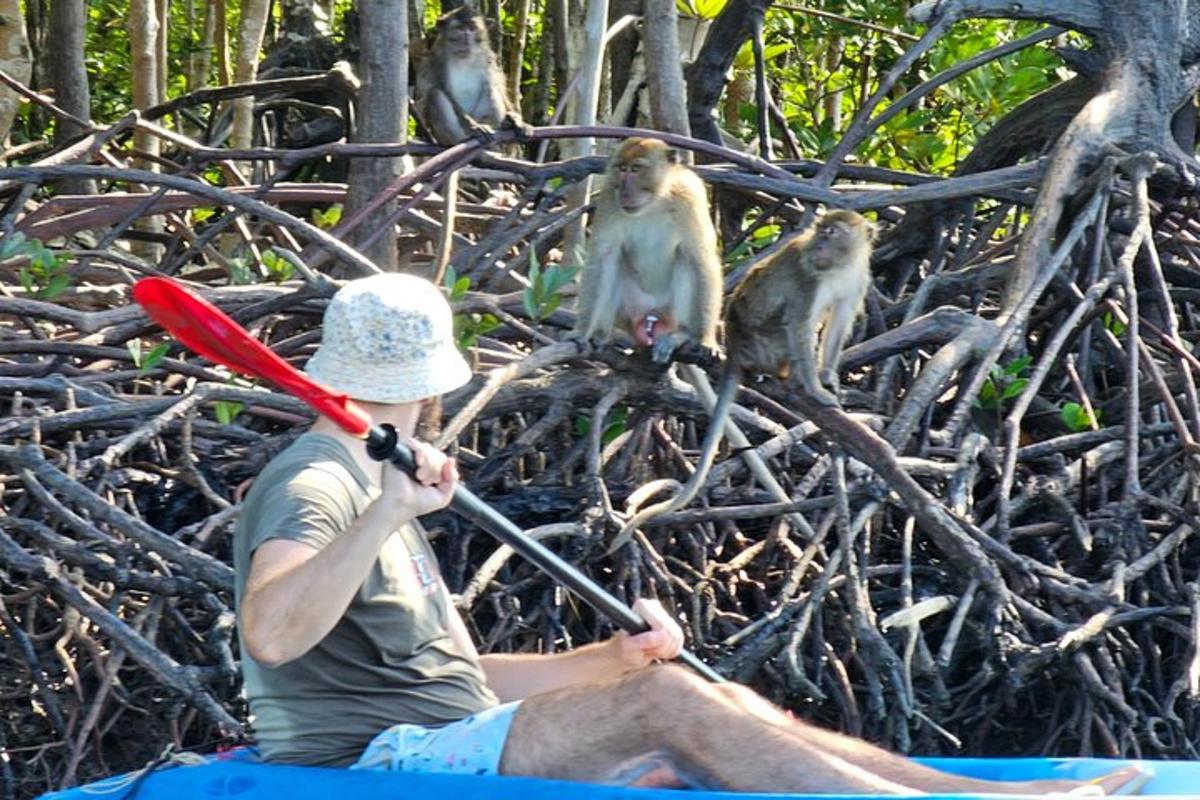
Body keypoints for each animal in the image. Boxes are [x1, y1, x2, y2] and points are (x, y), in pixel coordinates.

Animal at [573, 137, 720, 362]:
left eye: (636, 169)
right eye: (622, 168)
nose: (624, 192)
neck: (655, 203)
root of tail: (651, 314)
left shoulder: (690, 196)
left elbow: (701, 260)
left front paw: (705, 339)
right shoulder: (609, 198)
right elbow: (602, 260)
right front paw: (582, 333)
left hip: (670, 312)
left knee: (684, 259)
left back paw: (681, 335)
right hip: (629, 311)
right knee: (614, 265)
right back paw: (600, 335)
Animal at [614, 209, 878, 546]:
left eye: (830, 232)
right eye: (820, 231)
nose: (817, 245)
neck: (840, 267)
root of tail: (735, 349)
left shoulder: (857, 279)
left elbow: (838, 324)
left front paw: (828, 377)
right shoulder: (806, 280)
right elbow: (799, 326)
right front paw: (814, 388)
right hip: (762, 344)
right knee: (787, 329)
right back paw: (787, 377)